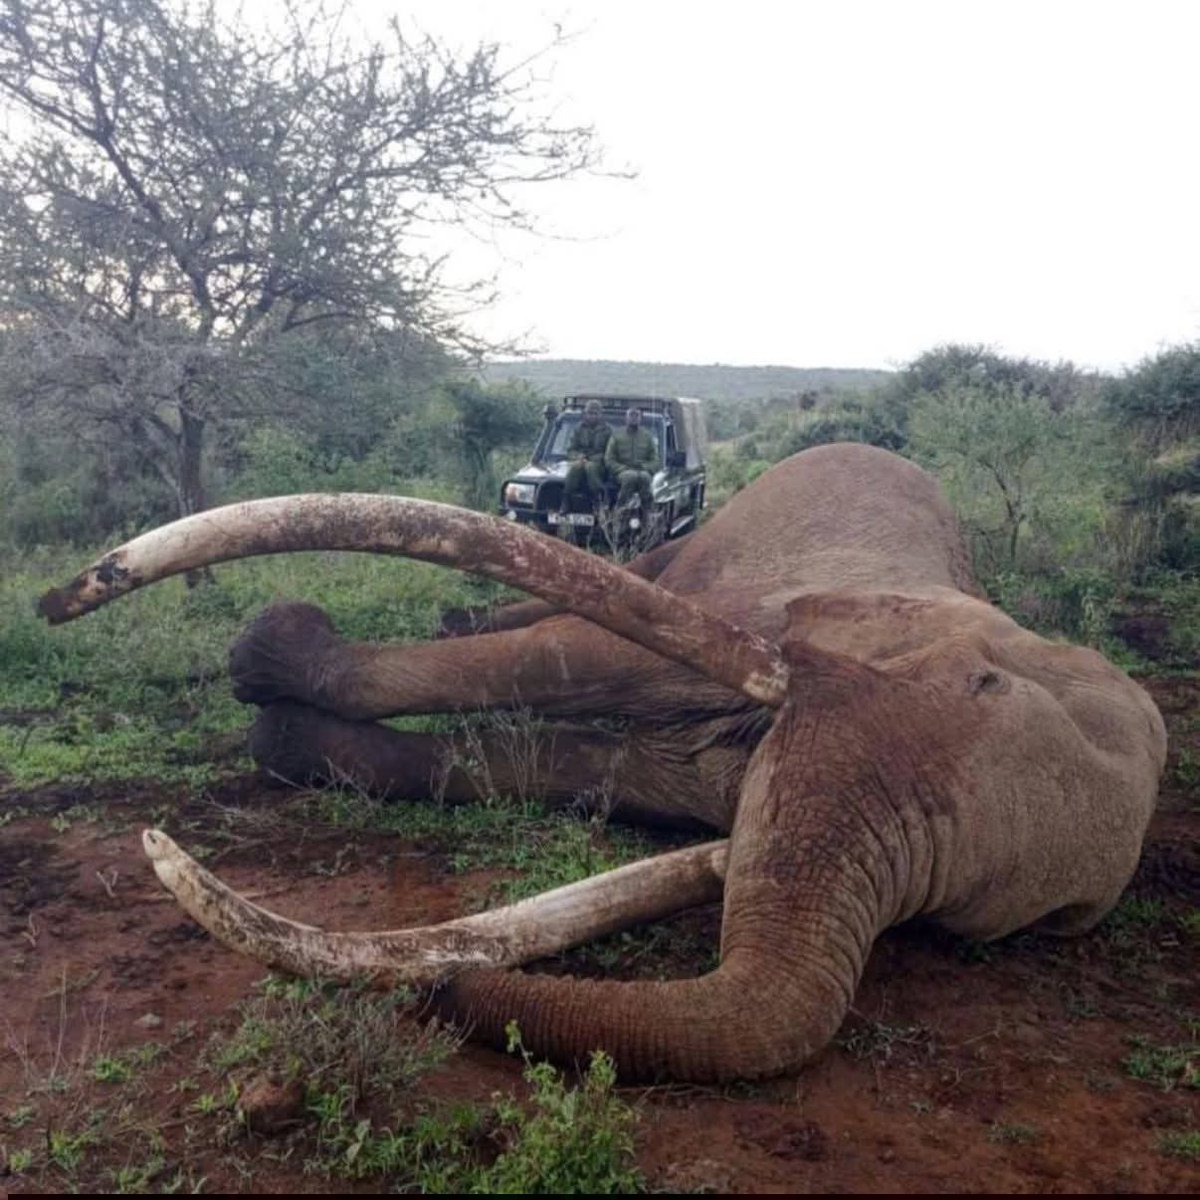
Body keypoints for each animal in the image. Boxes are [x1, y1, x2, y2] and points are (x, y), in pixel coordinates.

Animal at [39, 443, 1167, 1083]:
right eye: (981, 686)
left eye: (971, 919)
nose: (443, 992)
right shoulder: (761, 619)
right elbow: (568, 655)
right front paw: (269, 665)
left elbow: (572, 765)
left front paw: (282, 735)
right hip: (707, 539)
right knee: (606, 584)